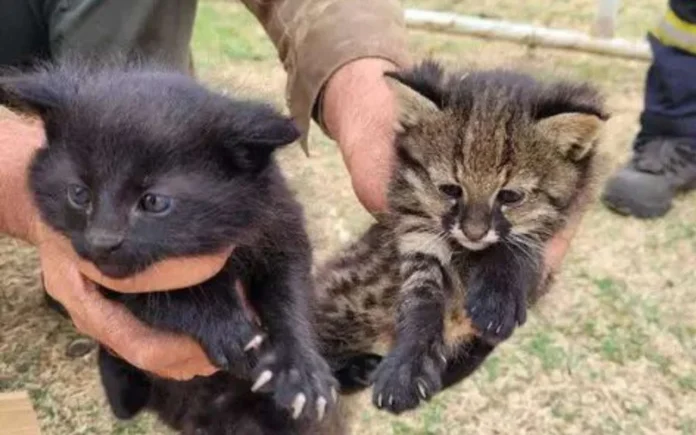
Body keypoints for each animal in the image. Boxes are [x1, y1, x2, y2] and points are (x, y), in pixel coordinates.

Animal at [0, 58, 342, 435]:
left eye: (153, 202)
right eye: (78, 194)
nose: (101, 241)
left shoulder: (280, 227)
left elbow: (289, 293)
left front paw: (301, 371)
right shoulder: (101, 277)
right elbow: (164, 296)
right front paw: (227, 329)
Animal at [312, 59, 608, 414]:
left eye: (510, 196)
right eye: (450, 189)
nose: (473, 232)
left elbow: (517, 247)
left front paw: (495, 299)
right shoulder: (414, 226)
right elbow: (422, 294)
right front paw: (407, 368)